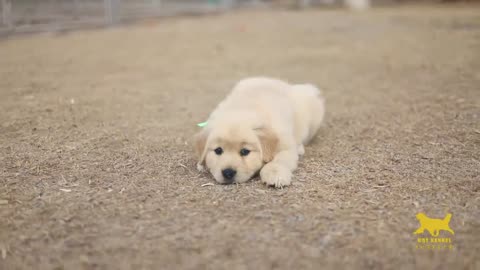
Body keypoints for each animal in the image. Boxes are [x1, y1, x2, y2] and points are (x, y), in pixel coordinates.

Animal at [193, 77, 324, 188]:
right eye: (218, 150)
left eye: (245, 151)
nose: (228, 172)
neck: (242, 109)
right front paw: (201, 164)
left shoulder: (285, 147)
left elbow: (277, 162)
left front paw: (275, 176)